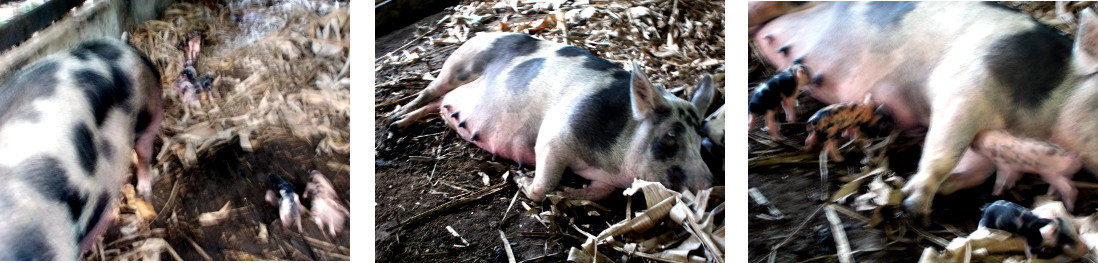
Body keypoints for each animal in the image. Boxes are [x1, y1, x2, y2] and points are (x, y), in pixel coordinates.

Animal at [390, 32, 715, 201]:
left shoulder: (605, 182)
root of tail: (481, 33)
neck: (612, 163)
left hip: (451, 92)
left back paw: (400, 125)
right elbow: (542, 187)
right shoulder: (553, 138)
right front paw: (520, 178)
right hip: (457, 67)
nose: (710, 183)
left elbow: (591, 195)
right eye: (670, 137)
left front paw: (568, 194)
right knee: (426, 94)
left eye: (701, 138)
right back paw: (393, 123)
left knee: (436, 105)